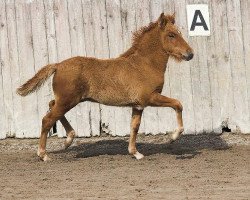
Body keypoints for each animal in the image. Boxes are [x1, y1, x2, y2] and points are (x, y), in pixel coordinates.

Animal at [17, 13, 193, 161]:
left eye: (179, 33)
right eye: (171, 35)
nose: (190, 54)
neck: (144, 65)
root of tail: (58, 65)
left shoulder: (137, 105)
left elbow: (134, 127)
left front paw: (135, 153)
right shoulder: (150, 98)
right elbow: (178, 104)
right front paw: (173, 136)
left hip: (68, 100)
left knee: (51, 105)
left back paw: (68, 139)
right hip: (68, 100)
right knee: (47, 119)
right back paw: (44, 155)